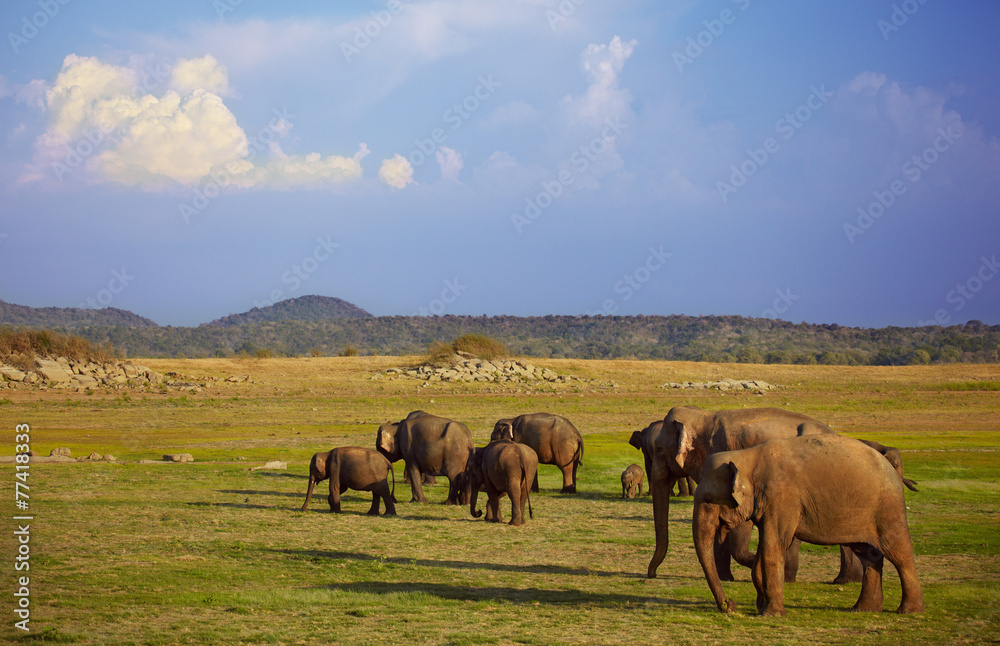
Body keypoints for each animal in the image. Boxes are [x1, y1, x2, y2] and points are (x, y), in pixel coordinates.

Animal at [693, 434, 924, 616]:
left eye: (709, 499)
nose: (729, 605)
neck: (746, 456)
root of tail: (894, 470)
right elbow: (765, 547)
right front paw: (761, 607)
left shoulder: (783, 498)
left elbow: (772, 547)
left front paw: (771, 614)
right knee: (869, 556)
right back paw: (863, 609)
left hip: (888, 509)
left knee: (899, 553)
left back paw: (909, 611)